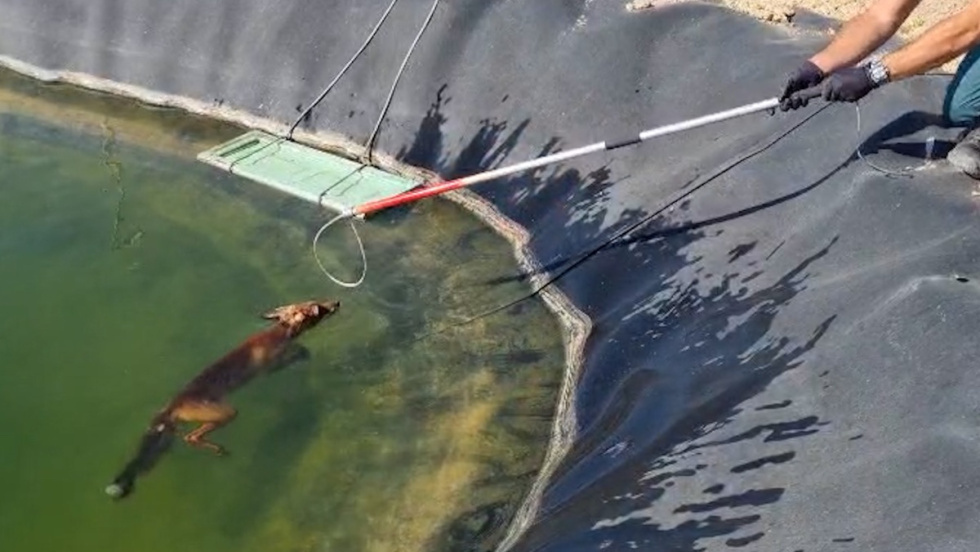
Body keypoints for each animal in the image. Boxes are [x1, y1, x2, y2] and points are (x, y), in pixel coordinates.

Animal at [105, 299, 340, 500]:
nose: (336, 302)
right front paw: (303, 354)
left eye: (318, 302)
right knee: (191, 437)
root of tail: (173, 404)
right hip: (226, 413)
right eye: (319, 309)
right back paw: (218, 449)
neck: (279, 332)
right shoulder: (270, 366)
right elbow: (300, 352)